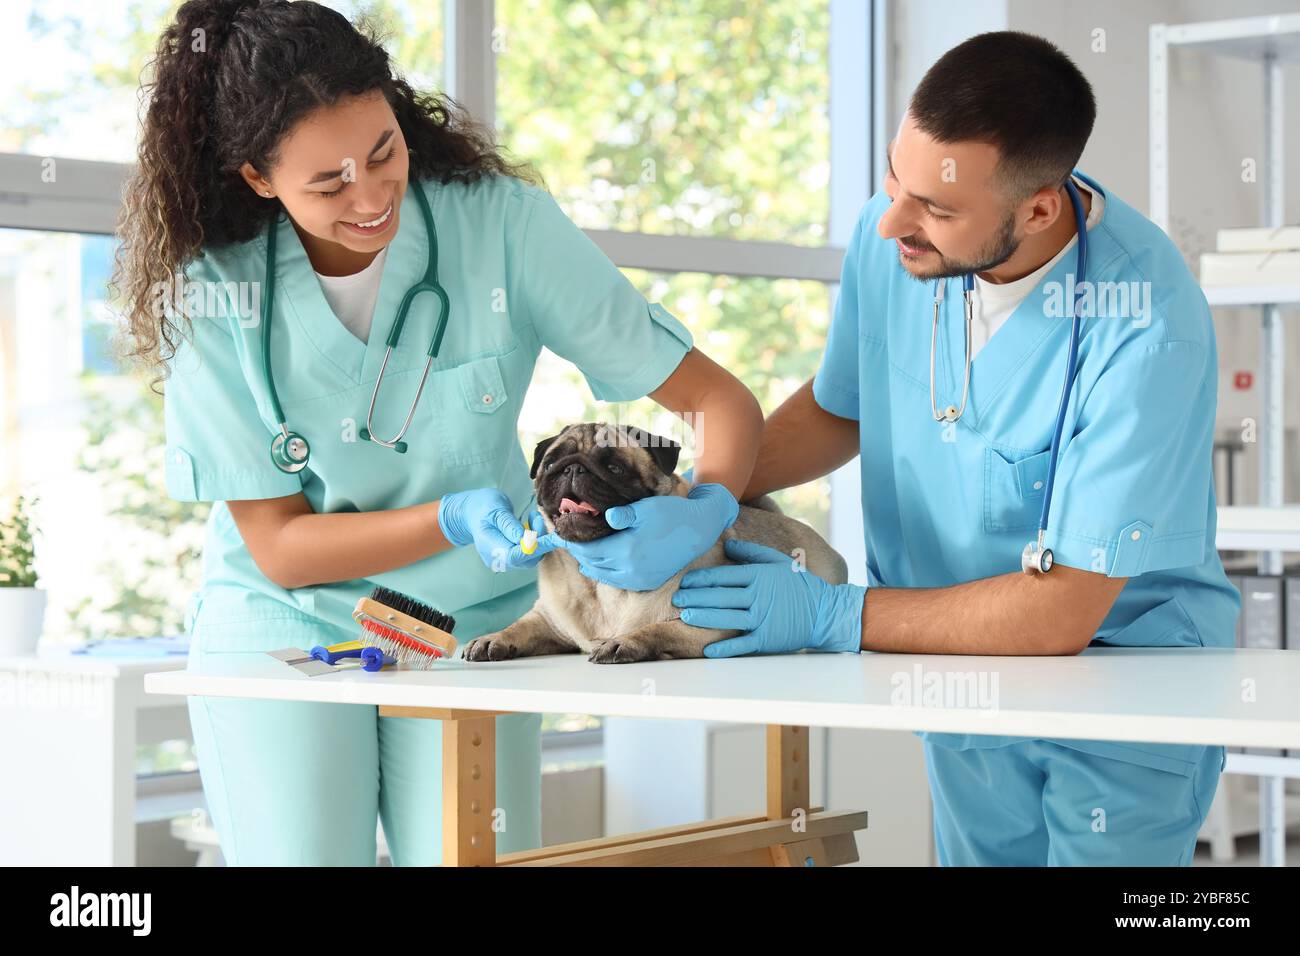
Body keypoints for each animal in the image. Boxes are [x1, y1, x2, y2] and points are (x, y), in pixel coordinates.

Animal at [462, 421, 847, 660]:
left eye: (615, 468)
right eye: (551, 463)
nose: (572, 468)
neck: (599, 583)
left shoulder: (707, 622)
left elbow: (657, 630)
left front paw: (624, 643)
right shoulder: (547, 621)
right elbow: (519, 626)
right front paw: (493, 638)